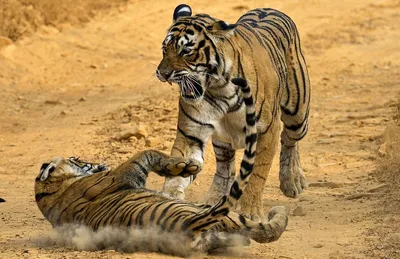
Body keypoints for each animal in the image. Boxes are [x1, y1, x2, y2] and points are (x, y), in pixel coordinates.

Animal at [34, 79, 288, 254]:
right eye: (76, 159)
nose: (98, 162)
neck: (54, 192)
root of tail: (186, 227)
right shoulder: (124, 172)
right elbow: (147, 152)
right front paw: (185, 166)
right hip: (211, 212)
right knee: (264, 230)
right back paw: (277, 214)